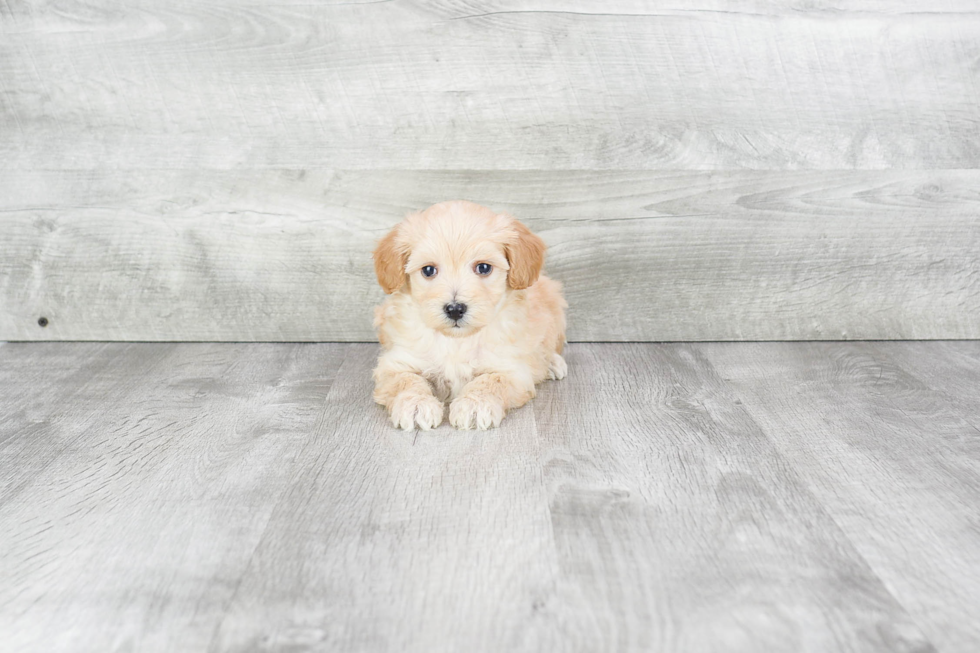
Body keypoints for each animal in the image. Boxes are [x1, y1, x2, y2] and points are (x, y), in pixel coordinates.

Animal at [372, 201, 568, 430]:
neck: (457, 340)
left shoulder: (511, 368)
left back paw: (553, 363)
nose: (455, 309)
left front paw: (475, 405)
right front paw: (416, 404)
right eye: (428, 270)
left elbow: (489, 381)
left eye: (483, 267)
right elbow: (406, 380)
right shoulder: (397, 362)